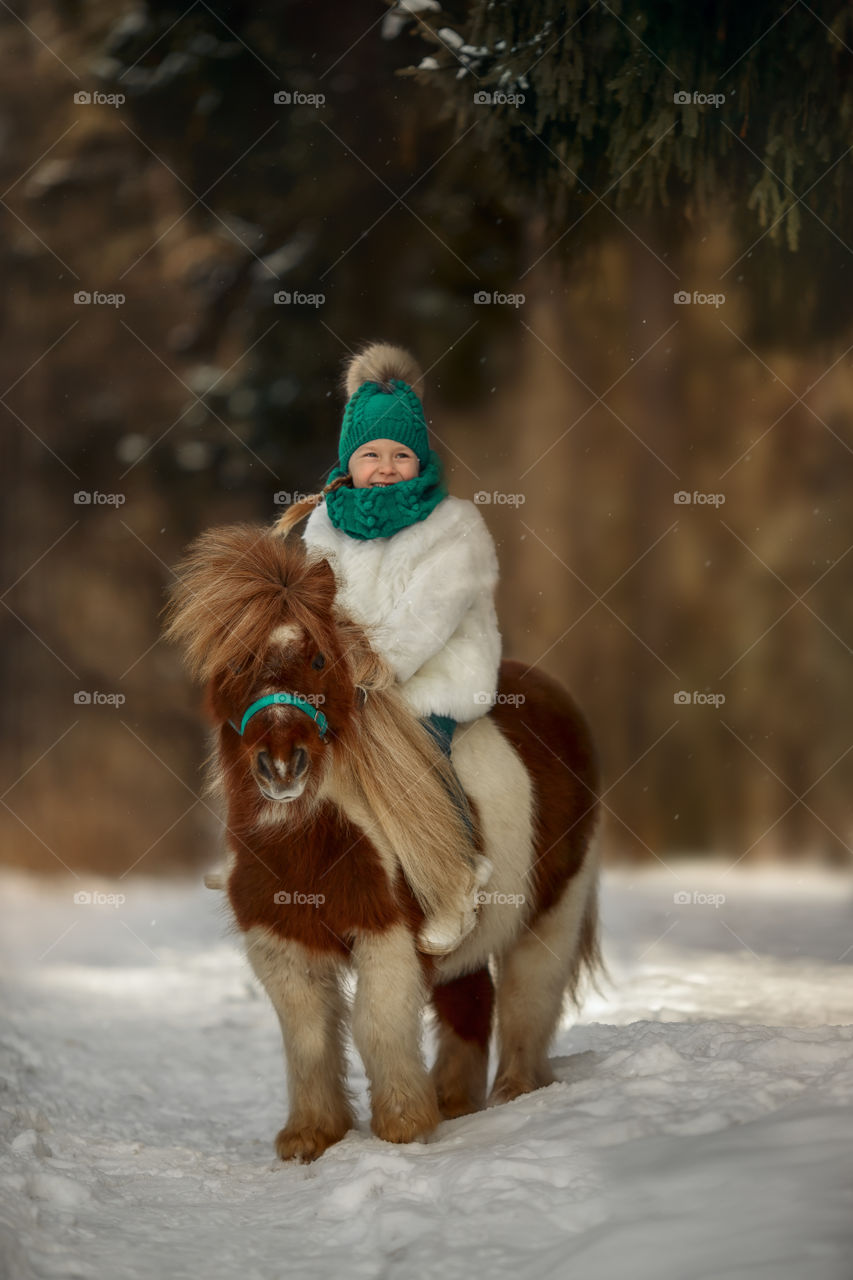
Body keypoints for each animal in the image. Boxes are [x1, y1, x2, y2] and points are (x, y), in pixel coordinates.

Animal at [166, 524, 596, 1167]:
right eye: (238, 660)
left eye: (320, 658)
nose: (282, 765)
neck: (314, 843)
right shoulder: (280, 943)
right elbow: (308, 1035)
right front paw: (311, 1135)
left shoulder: (387, 934)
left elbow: (376, 1023)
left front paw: (402, 1125)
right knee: (472, 1003)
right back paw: (453, 1101)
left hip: (553, 912)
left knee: (529, 997)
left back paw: (516, 1093)